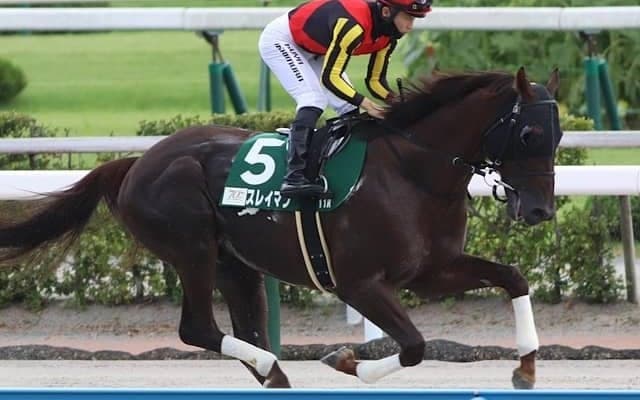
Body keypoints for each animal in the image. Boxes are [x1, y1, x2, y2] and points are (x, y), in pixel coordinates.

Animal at [0, 67, 562, 389]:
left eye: (558, 135)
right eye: (528, 133)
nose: (540, 211)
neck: (411, 171)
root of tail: (136, 164)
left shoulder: (431, 270)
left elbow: (514, 277)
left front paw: (527, 366)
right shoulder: (358, 282)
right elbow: (415, 346)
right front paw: (345, 361)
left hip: (237, 264)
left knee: (246, 330)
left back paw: (274, 372)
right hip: (193, 248)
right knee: (199, 329)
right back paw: (272, 366)